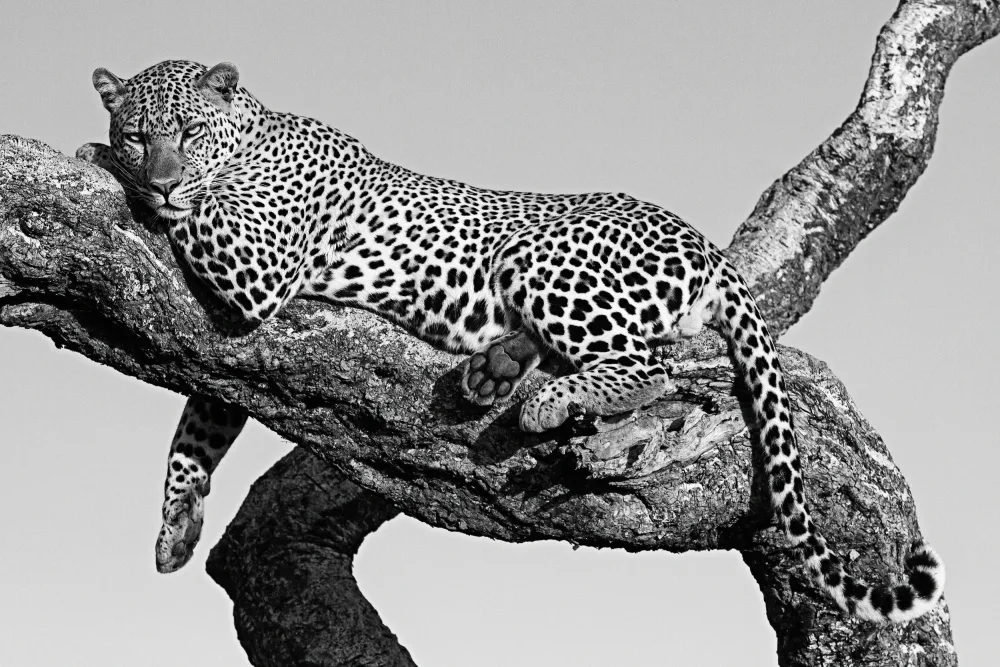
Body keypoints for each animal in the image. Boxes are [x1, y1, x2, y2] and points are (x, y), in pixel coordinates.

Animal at [80, 59, 943, 623]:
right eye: (139, 134)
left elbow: (199, 218)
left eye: (188, 132)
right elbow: (199, 424)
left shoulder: (256, 264)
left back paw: (544, 399)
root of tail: (704, 244)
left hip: (538, 255)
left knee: (649, 364)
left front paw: (103, 163)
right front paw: (176, 523)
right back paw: (497, 369)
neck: (254, 132)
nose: (158, 177)